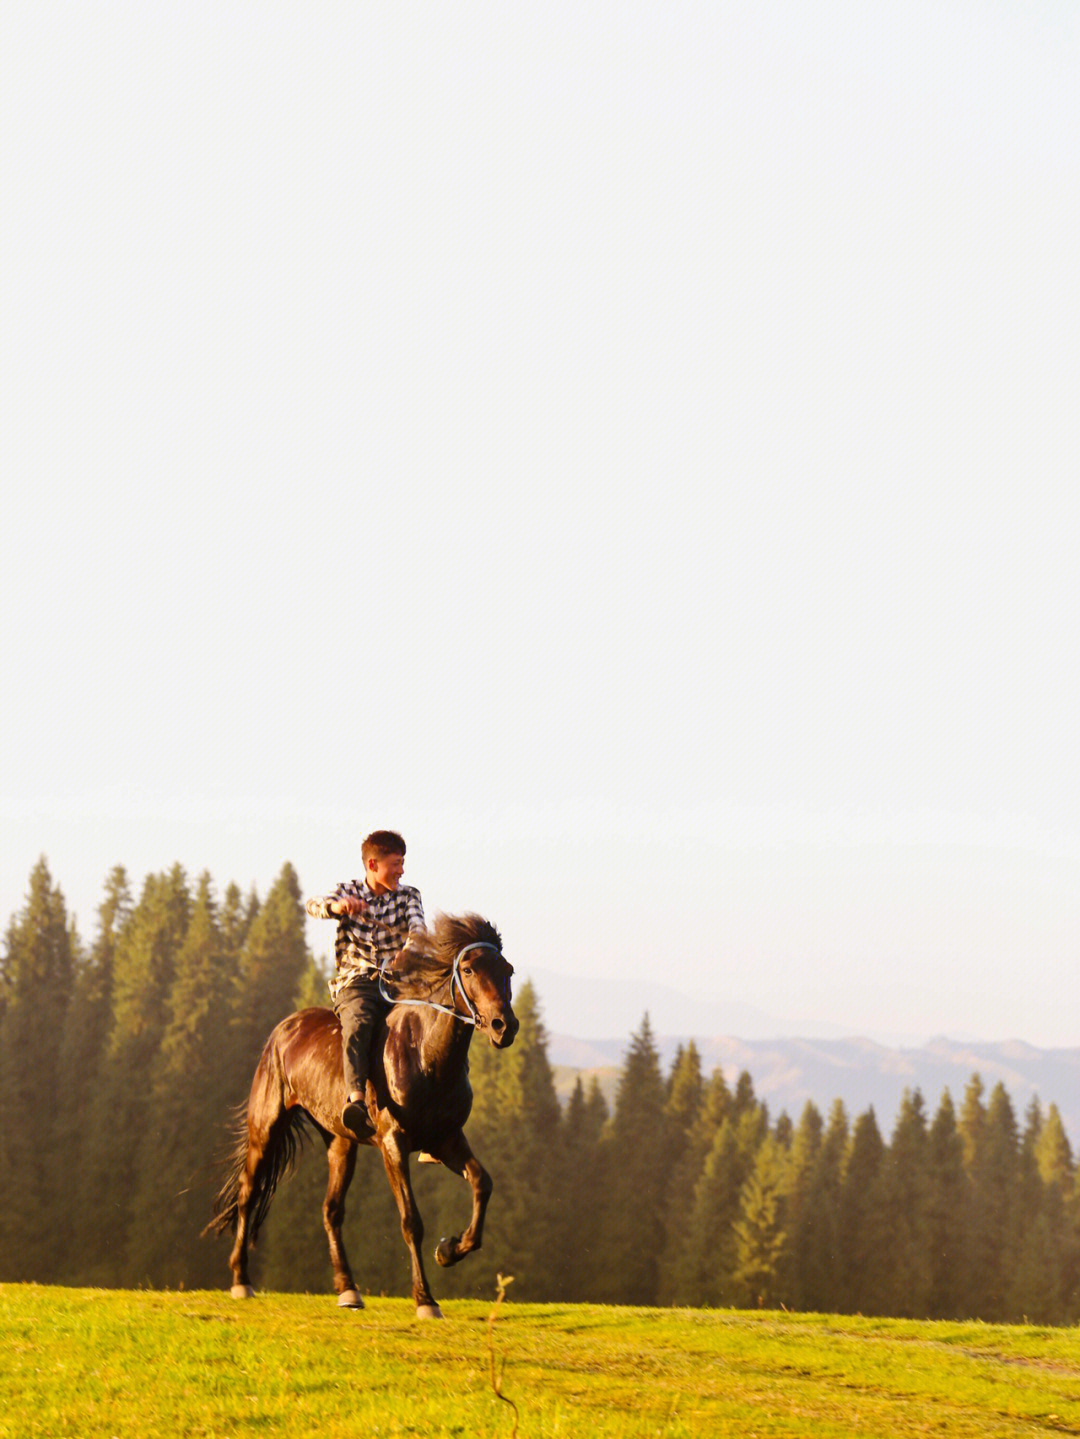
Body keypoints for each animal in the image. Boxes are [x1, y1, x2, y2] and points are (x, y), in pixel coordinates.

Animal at [208, 915, 520, 1318]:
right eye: (468, 969)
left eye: (507, 970)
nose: (504, 1026)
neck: (425, 1053)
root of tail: (285, 1027)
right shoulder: (393, 1142)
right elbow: (411, 1220)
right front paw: (425, 1299)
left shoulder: (446, 1139)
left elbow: (483, 1183)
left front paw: (449, 1250)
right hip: (266, 1127)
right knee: (248, 1192)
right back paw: (241, 1280)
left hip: (341, 1143)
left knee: (331, 1210)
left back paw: (348, 1290)